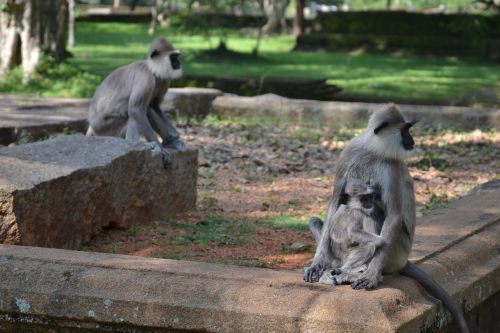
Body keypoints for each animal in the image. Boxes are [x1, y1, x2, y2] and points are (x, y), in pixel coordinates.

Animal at [86, 37, 188, 165]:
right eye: (173, 57)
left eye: (177, 57)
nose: (178, 63)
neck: (153, 70)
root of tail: (92, 126)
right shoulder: (145, 76)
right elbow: (135, 109)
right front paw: (161, 148)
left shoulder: (164, 80)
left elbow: (154, 106)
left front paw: (173, 137)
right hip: (107, 129)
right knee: (135, 114)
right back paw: (136, 145)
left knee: (148, 110)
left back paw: (167, 142)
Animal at [302, 104, 470, 332]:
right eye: (405, 130)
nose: (412, 139)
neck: (372, 151)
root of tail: (404, 259)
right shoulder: (348, 153)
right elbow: (335, 203)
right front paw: (317, 264)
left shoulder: (390, 165)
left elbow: (392, 214)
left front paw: (371, 275)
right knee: (321, 220)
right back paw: (334, 268)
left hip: (398, 248)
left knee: (374, 214)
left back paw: (356, 271)